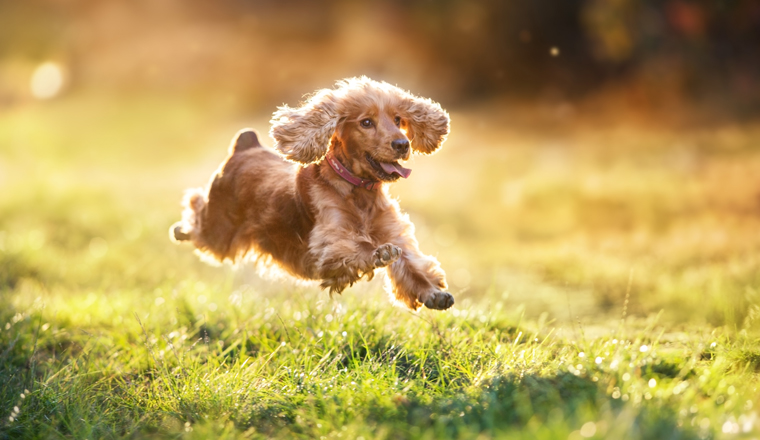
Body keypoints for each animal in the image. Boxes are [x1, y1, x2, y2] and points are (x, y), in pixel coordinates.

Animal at [171, 76, 454, 310]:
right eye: (366, 122)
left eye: (398, 120)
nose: (402, 144)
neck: (358, 192)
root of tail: (246, 145)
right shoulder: (328, 246)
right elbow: (358, 247)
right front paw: (379, 253)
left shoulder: (395, 233)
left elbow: (412, 266)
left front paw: (434, 294)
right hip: (219, 230)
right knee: (196, 208)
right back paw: (180, 229)